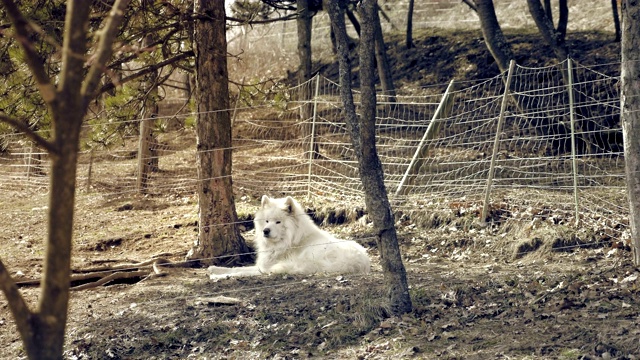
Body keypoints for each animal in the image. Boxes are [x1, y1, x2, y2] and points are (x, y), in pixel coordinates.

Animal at [210, 195, 370, 280]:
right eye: (267, 221)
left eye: (278, 222)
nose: (265, 231)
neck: (291, 241)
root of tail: (360, 263)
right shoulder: (261, 265)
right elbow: (236, 267)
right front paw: (215, 269)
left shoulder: (264, 268)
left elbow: (240, 271)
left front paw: (218, 276)